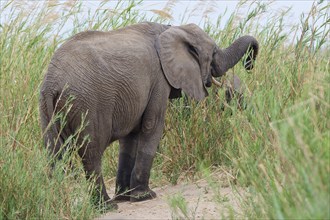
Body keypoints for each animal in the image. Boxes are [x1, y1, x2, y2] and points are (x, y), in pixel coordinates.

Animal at [38, 21, 260, 209]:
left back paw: (57, 204)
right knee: (91, 152)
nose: (249, 64)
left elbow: (131, 138)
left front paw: (126, 197)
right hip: (88, 104)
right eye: (213, 52)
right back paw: (106, 206)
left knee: (54, 153)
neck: (172, 29)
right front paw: (145, 196)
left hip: (46, 108)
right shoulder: (159, 79)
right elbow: (152, 126)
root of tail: (52, 82)